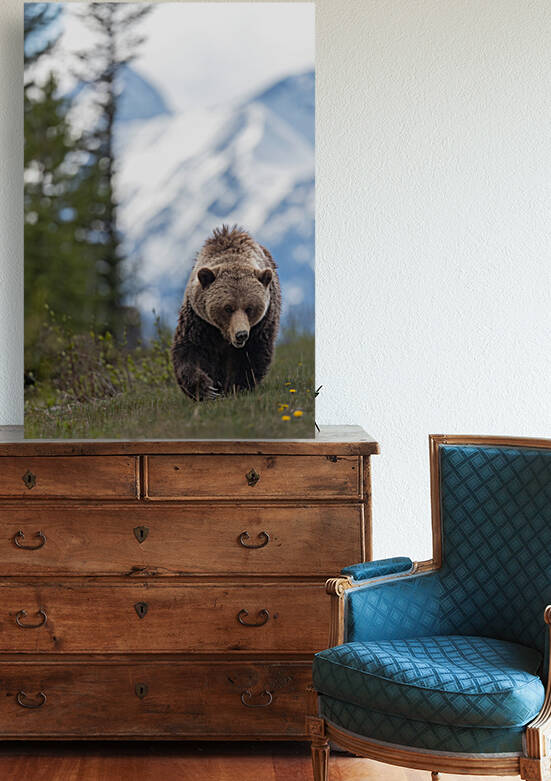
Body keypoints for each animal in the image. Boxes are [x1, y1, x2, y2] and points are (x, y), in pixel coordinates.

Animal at [172, 225, 281, 401]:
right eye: (228, 308)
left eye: (249, 308)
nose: (241, 334)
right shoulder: (199, 322)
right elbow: (191, 350)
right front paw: (206, 389)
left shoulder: (261, 324)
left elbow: (250, 357)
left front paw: (236, 388)